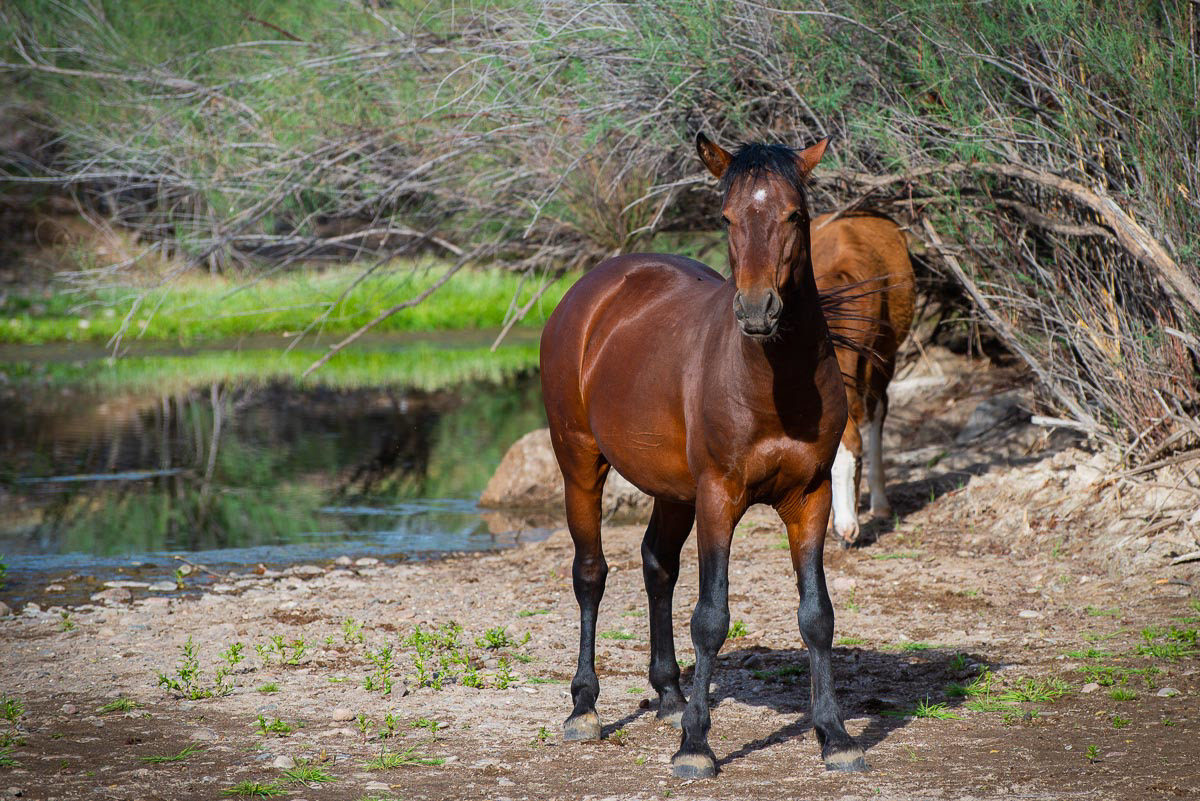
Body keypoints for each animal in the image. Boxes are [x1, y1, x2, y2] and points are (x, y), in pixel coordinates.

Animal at [539, 133, 868, 778]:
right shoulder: (720, 496)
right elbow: (711, 617)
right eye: (727, 218)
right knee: (590, 574)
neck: (773, 387)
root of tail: (591, 292)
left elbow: (817, 616)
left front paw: (835, 737)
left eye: (796, 215)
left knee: (656, 565)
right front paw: (696, 746)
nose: (759, 309)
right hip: (580, 465)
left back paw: (668, 694)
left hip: (674, 491)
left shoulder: (811, 497)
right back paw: (584, 709)